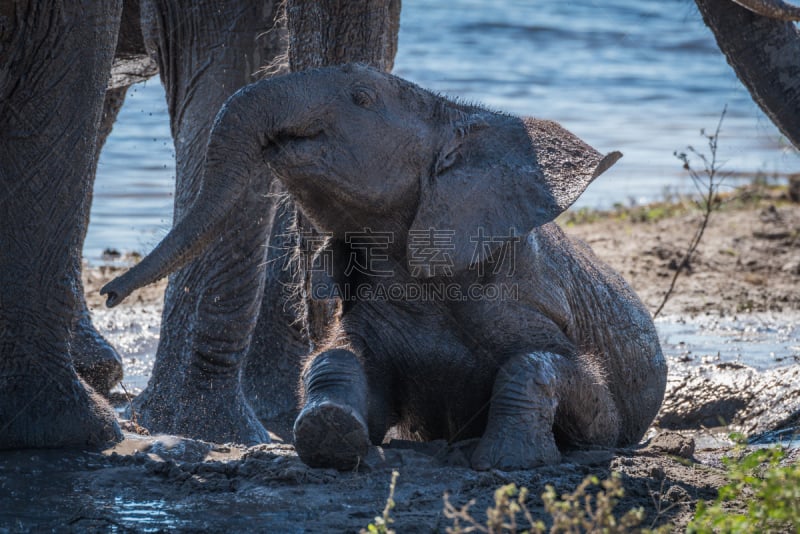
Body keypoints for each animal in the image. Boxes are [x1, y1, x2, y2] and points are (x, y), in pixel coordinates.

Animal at [106, 63, 668, 474]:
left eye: (361, 97)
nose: (111, 293)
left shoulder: (527, 296)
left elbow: (564, 381)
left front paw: (508, 462)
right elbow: (340, 360)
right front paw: (330, 435)